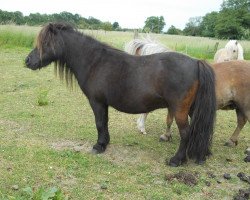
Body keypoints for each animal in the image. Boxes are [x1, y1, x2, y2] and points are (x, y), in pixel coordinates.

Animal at [25, 22, 217, 166]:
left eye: (44, 43)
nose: (27, 61)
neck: (94, 62)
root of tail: (196, 62)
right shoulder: (103, 103)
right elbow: (104, 123)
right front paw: (105, 143)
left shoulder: (96, 102)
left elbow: (99, 123)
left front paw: (99, 146)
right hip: (191, 109)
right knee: (199, 130)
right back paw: (200, 155)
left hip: (179, 110)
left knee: (186, 133)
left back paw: (177, 160)